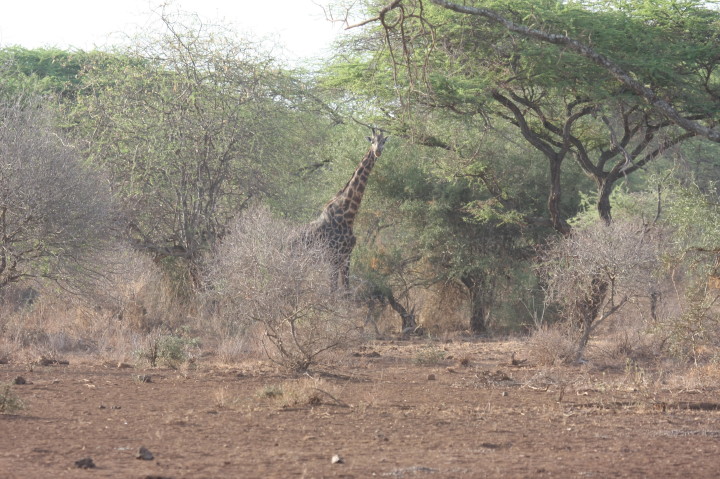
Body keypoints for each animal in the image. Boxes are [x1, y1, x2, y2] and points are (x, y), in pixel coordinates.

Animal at [303, 128, 389, 290]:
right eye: (372, 141)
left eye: (383, 142)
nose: (378, 152)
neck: (348, 214)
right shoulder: (335, 256)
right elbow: (333, 291)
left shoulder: (347, 256)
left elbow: (346, 291)